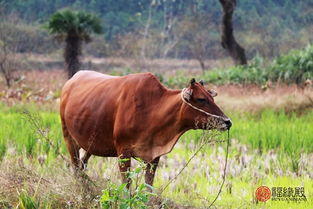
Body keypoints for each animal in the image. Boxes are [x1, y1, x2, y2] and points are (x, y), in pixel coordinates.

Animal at [60, 71, 229, 187]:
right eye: (201, 99)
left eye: (212, 98)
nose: (227, 122)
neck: (152, 109)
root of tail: (70, 81)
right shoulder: (123, 153)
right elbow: (127, 186)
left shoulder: (154, 157)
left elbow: (148, 187)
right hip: (68, 137)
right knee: (76, 167)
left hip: (90, 144)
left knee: (82, 165)